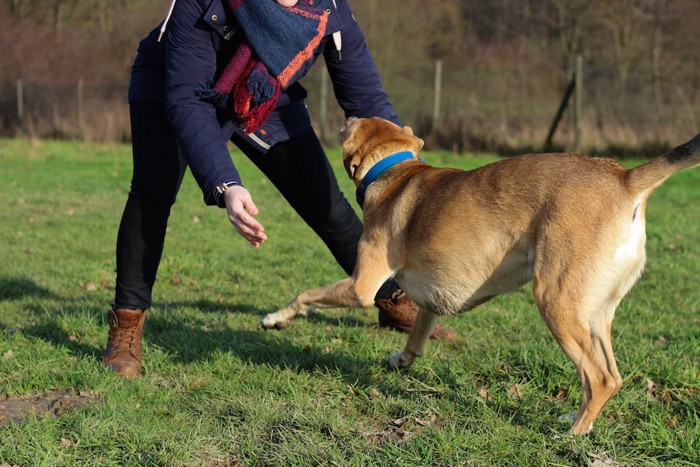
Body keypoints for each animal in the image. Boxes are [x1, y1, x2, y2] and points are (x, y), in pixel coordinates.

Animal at [260, 117, 696, 436]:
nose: (347, 115)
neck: (396, 169)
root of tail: (623, 178)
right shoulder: (429, 303)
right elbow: (417, 337)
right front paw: (401, 360)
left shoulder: (360, 286)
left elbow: (305, 294)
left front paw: (275, 318)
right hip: (595, 315)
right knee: (612, 376)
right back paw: (576, 421)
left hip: (556, 304)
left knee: (600, 378)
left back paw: (571, 434)